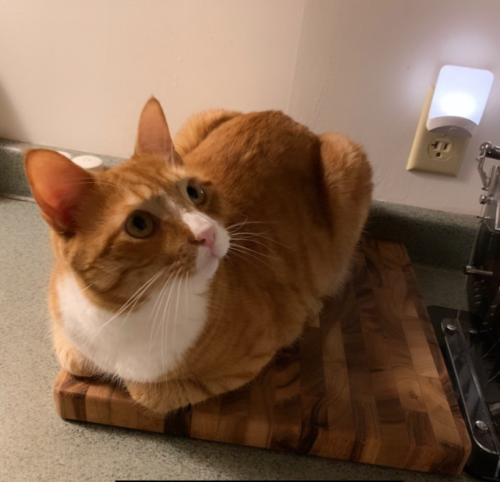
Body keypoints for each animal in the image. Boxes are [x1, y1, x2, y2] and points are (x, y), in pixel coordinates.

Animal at [25, 98, 374, 414]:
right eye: (139, 224)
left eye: (194, 193)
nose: (207, 233)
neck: (123, 311)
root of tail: (286, 118)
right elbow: (75, 358)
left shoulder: (252, 357)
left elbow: (147, 392)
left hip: (347, 159)